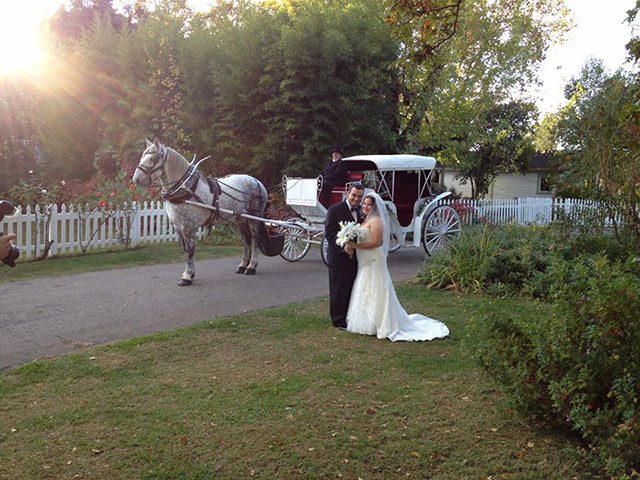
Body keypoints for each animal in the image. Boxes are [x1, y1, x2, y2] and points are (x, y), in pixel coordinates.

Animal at [132, 139, 272, 284]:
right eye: (142, 157)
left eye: (153, 158)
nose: (136, 179)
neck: (185, 188)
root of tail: (257, 181)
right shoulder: (178, 227)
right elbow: (185, 250)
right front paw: (188, 274)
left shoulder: (188, 226)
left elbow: (190, 251)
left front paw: (187, 277)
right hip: (240, 220)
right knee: (246, 241)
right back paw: (243, 265)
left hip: (254, 217)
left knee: (255, 240)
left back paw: (251, 266)